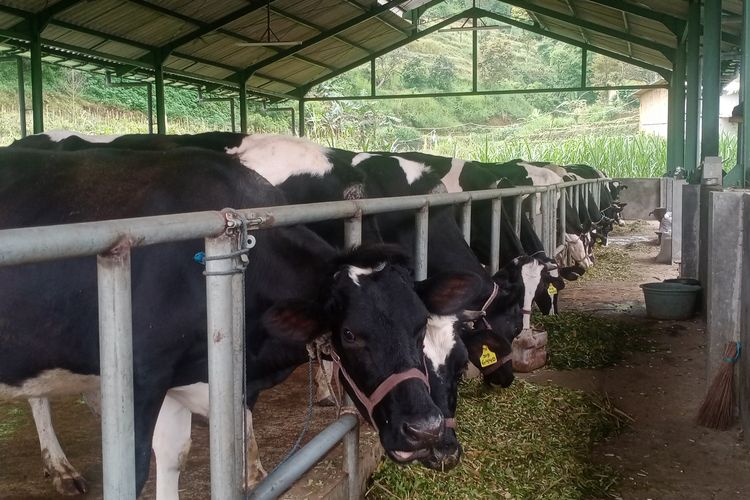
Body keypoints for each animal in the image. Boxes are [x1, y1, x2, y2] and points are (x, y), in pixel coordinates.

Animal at [0, 146, 482, 498]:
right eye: (349, 334)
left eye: (419, 327)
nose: (430, 436)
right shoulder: (139, 377)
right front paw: (252, 471)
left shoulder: (182, 377)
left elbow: (173, 456)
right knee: (38, 398)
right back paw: (61, 467)